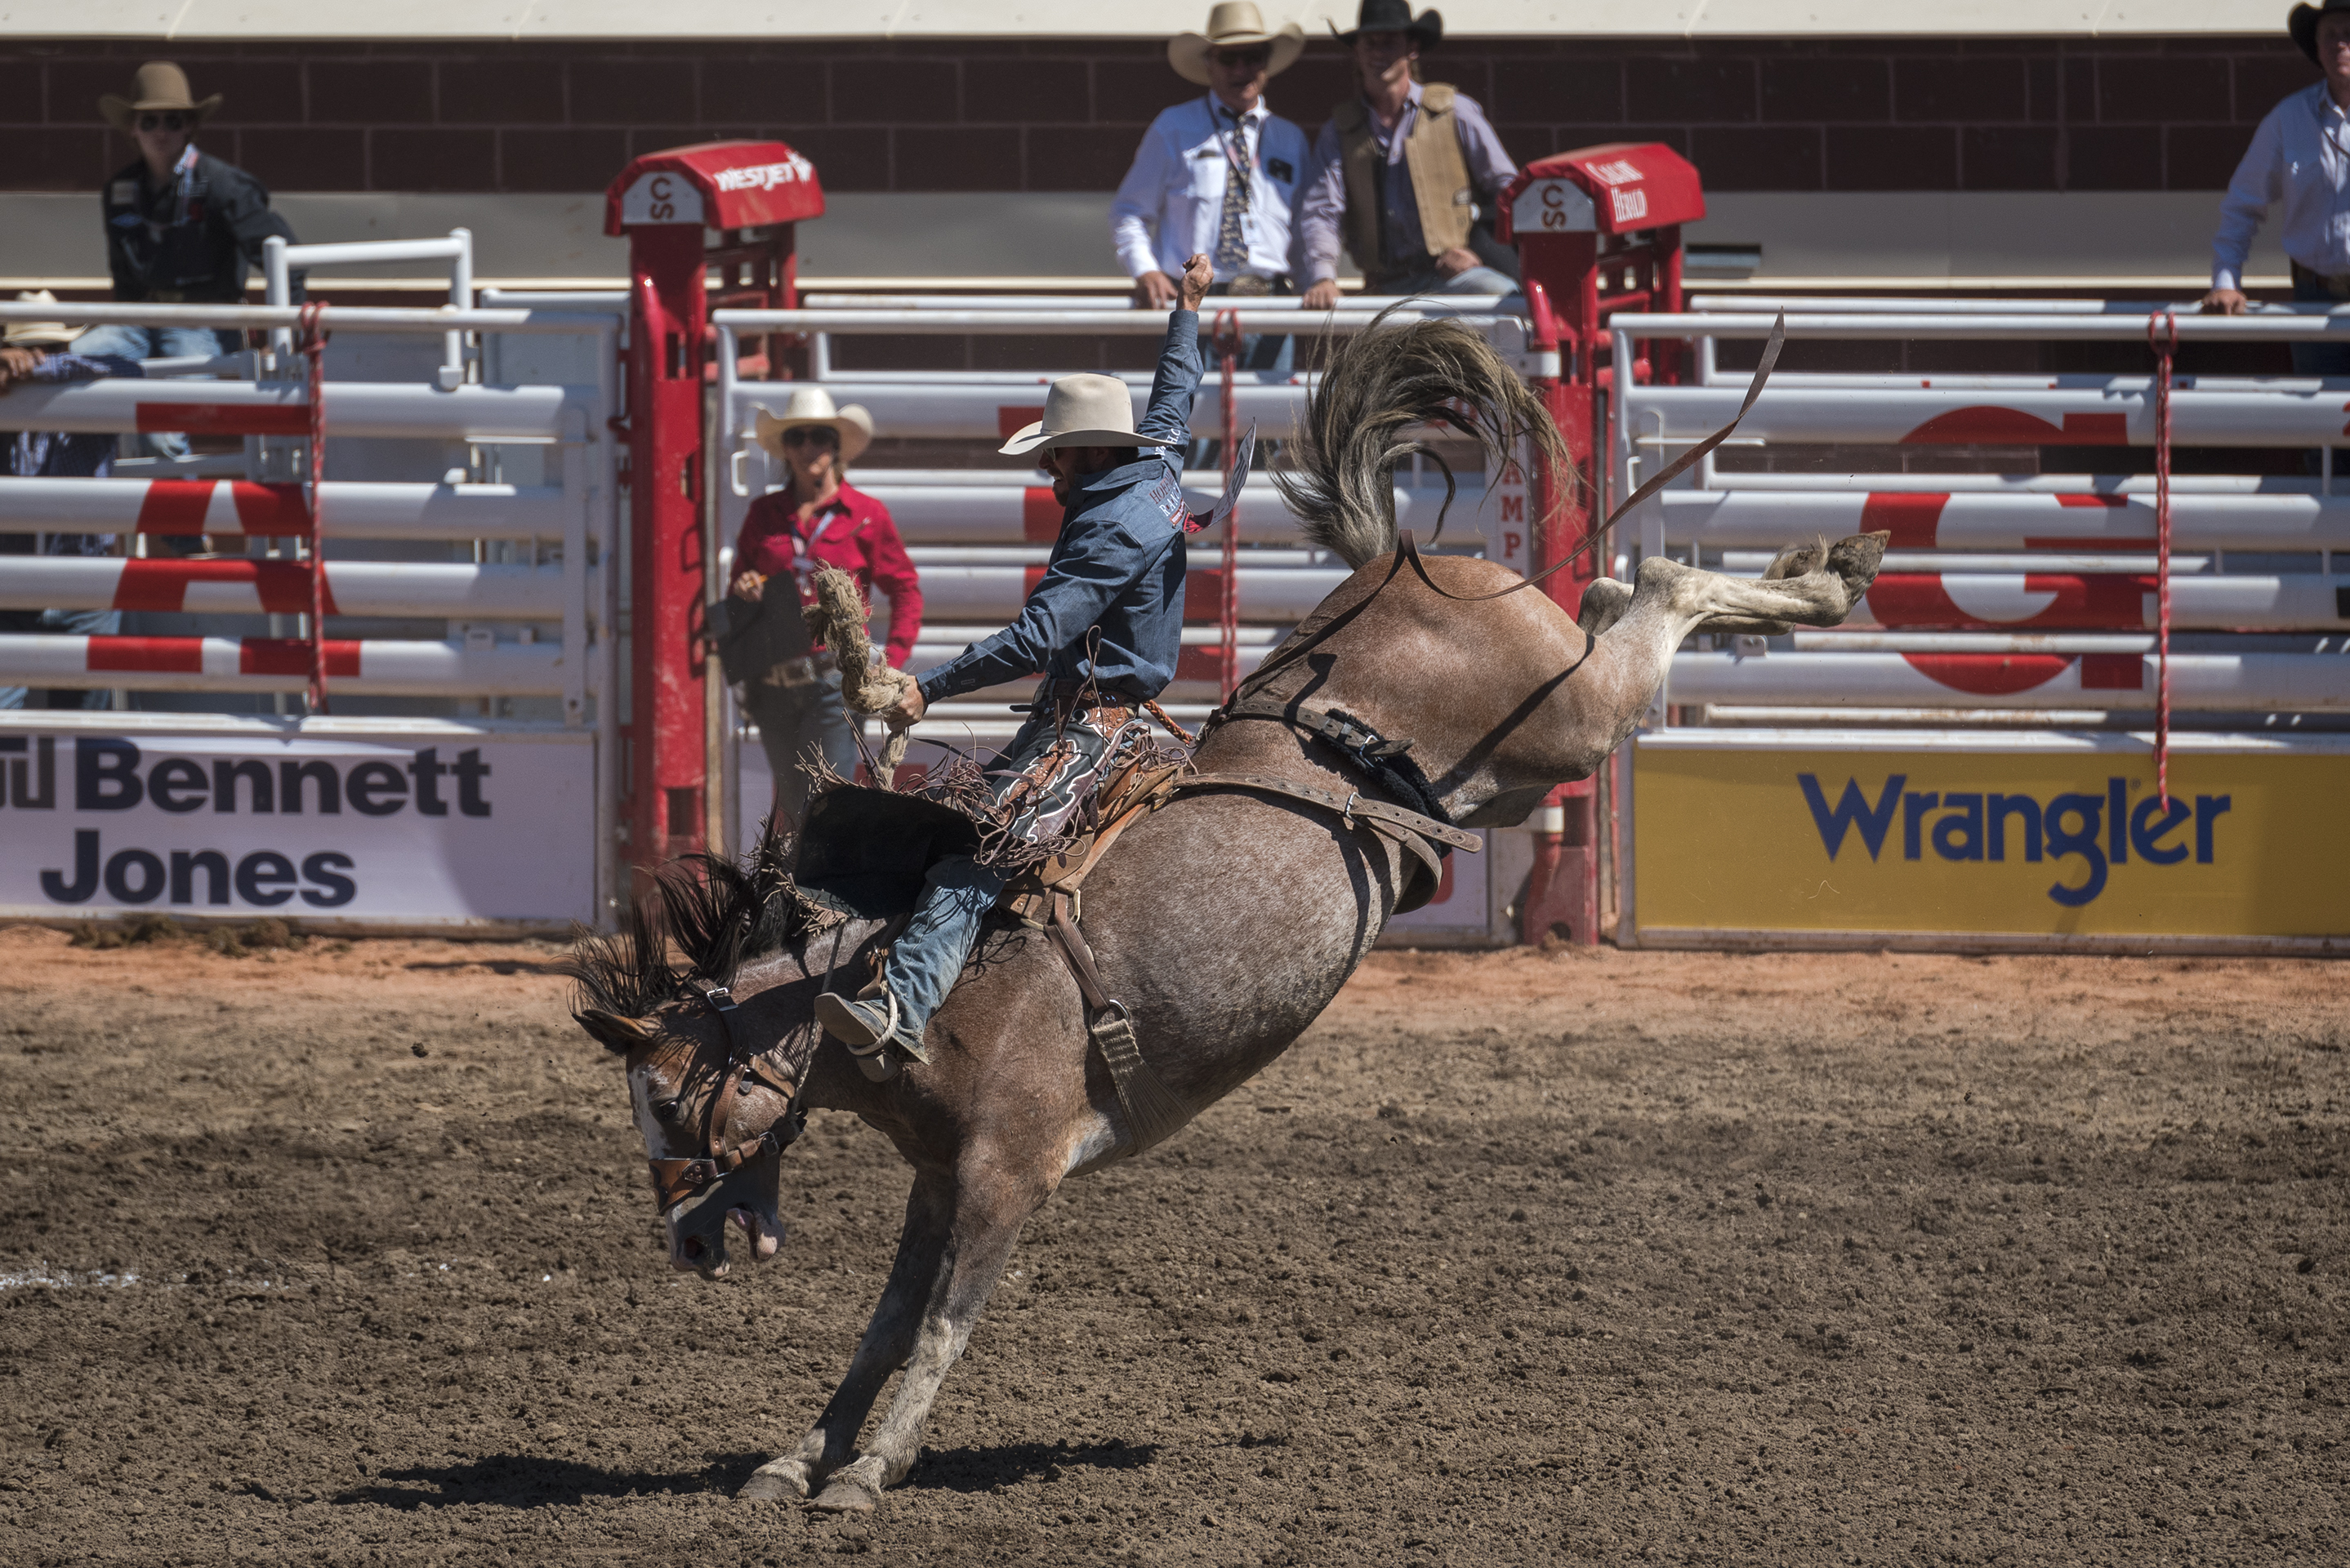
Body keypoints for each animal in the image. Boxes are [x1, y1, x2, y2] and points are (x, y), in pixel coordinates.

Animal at [554, 312, 1889, 1513]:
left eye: (663, 1097)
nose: (681, 1244)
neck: (893, 981)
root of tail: (1409, 563)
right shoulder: (937, 1178)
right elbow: (882, 1328)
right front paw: (798, 1459)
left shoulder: (1008, 1169)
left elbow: (940, 1327)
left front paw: (869, 1472)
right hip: (1522, 768)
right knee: (1618, 592)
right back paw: (1805, 575)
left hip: (1570, 721)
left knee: (1654, 588)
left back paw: (1827, 579)